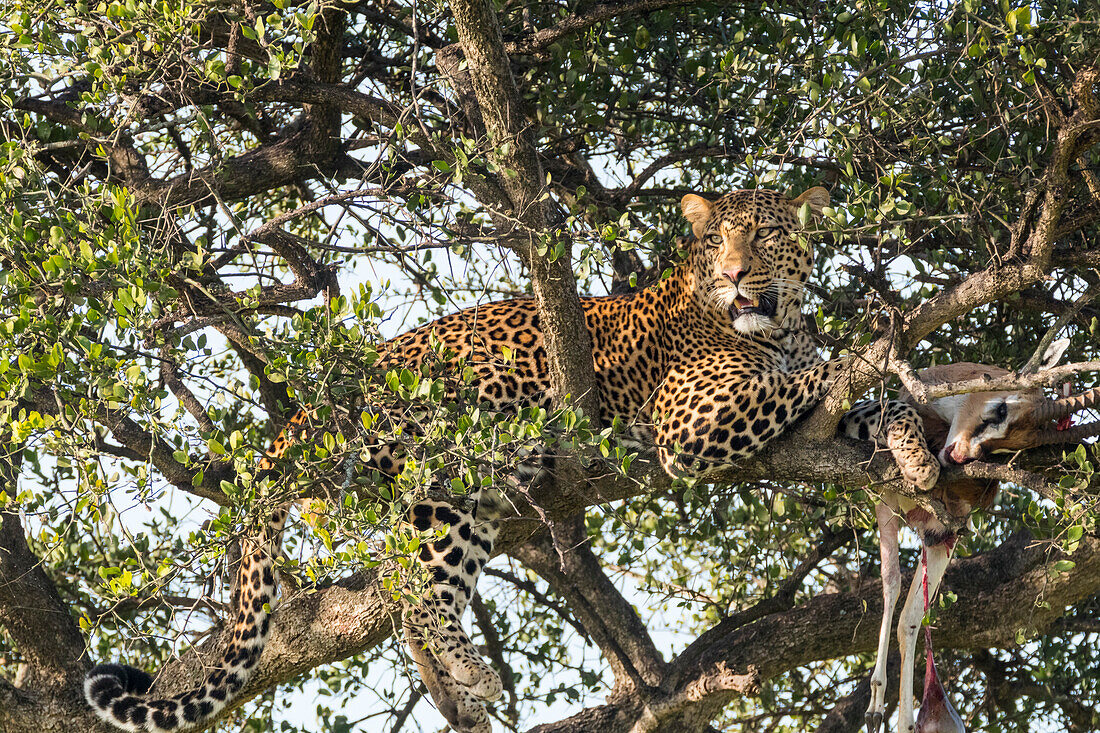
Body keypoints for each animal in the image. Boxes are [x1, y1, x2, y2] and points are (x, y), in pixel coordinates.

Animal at [83, 186, 937, 726]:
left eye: (763, 234)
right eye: (713, 238)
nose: (732, 273)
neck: (777, 324)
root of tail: (307, 413)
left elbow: (871, 399)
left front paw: (918, 451)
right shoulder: (691, 421)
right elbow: (822, 374)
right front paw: (875, 363)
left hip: (470, 503)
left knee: (404, 582)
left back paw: (457, 689)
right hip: (451, 460)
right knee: (418, 589)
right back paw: (475, 673)